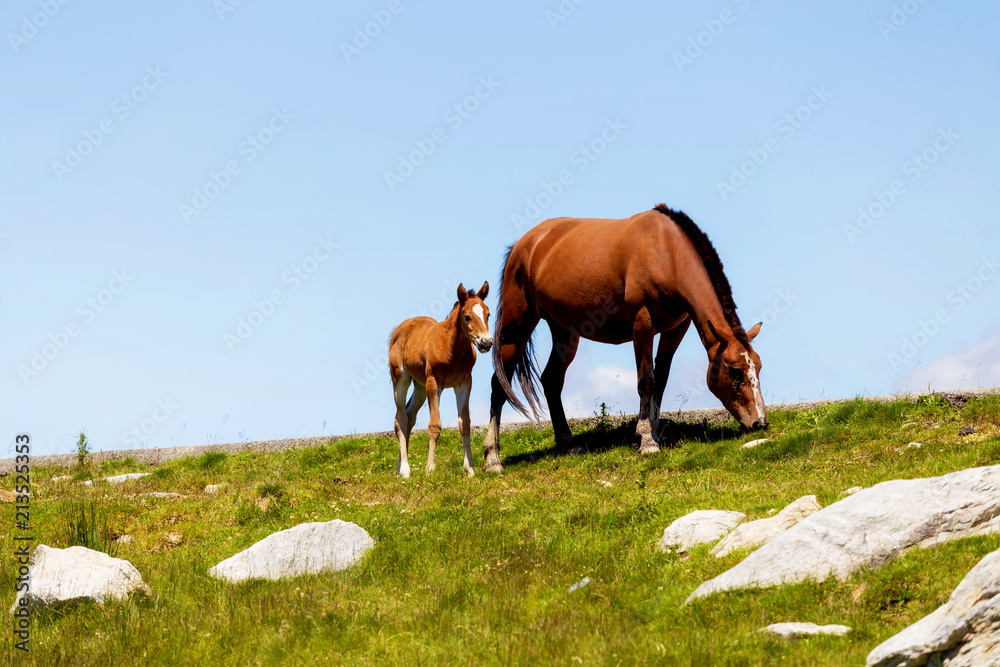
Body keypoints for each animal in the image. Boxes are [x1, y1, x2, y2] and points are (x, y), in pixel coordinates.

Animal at [388, 282, 493, 478]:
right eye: (467, 317)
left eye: (488, 314)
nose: (486, 342)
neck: (452, 348)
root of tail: (399, 329)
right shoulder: (434, 382)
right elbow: (434, 425)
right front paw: (430, 468)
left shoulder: (464, 383)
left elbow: (465, 423)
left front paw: (470, 469)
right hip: (400, 378)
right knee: (400, 418)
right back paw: (405, 469)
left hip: (420, 386)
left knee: (409, 415)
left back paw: (399, 467)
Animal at [481, 204, 767, 472]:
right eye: (735, 372)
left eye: (759, 367)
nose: (760, 422)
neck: (665, 251)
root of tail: (523, 245)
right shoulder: (642, 324)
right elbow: (646, 381)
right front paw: (647, 440)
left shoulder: (676, 328)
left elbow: (661, 380)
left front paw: (654, 432)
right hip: (517, 328)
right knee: (498, 385)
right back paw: (492, 458)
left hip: (565, 331)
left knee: (551, 380)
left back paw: (568, 443)